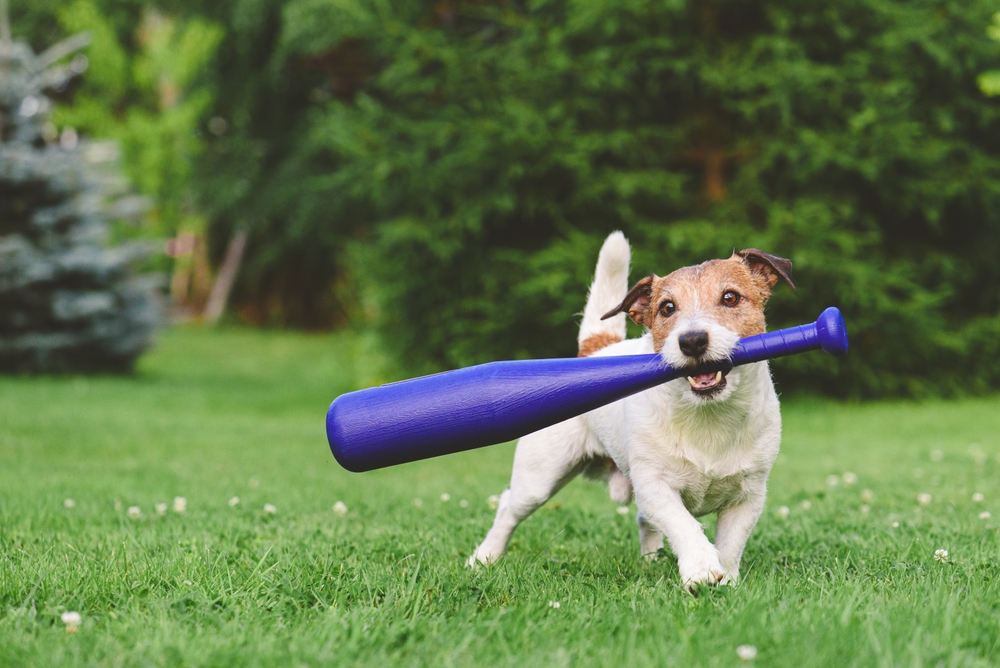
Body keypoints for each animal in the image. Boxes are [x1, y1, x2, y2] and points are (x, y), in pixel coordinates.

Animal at [468, 232, 796, 588]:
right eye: (667, 308)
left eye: (730, 297)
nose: (692, 340)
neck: (708, 415)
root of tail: (594, 352)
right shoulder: (654, 485)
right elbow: (683, 523)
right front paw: (700, 567)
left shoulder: (748, 495)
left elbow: (730, 545)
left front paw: (728, 580)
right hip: (539, 477)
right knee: (508, 508)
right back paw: (484, 557)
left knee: (643, 520)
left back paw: (651, 561)